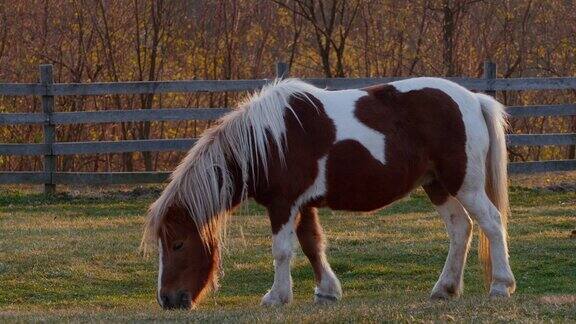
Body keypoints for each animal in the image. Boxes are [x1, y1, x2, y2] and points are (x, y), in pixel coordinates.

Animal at [141, 77, 516, 310]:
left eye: (177, 244)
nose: (167, 300)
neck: (268, 140)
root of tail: (473, 99)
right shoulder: (303, 204)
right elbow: (311, 244)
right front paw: (327, 291)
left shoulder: (282, 204)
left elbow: (282, 250)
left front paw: (277, 296)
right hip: (437, 185)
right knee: (460, 229)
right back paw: (444, 289)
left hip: (464, 183)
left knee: (491, 223)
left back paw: (501, 285)